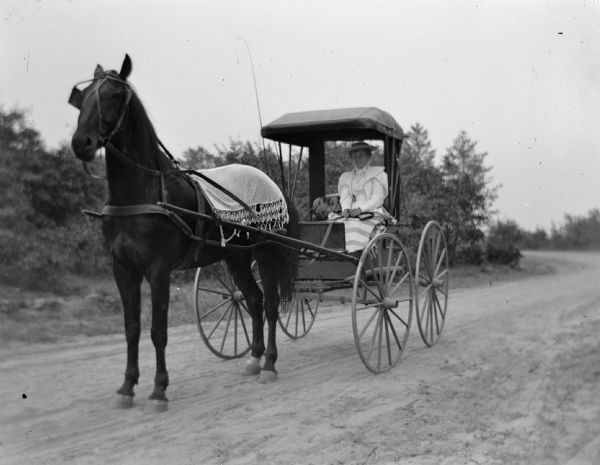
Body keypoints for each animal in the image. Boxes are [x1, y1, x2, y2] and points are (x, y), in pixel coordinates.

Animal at [68, 53, 298, 410]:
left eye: (115, 95)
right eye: (85, 96)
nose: (82, 143)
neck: (143, 194)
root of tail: (272, 182)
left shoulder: (159, 270)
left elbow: (157, 331)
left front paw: (159, 389)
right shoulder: (123, 269)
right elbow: (132, 328)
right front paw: (127, 386)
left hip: (267, 250)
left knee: (271, 304)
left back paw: (270, 364)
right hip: (236, 257)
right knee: (254, 299)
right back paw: (254, 359)